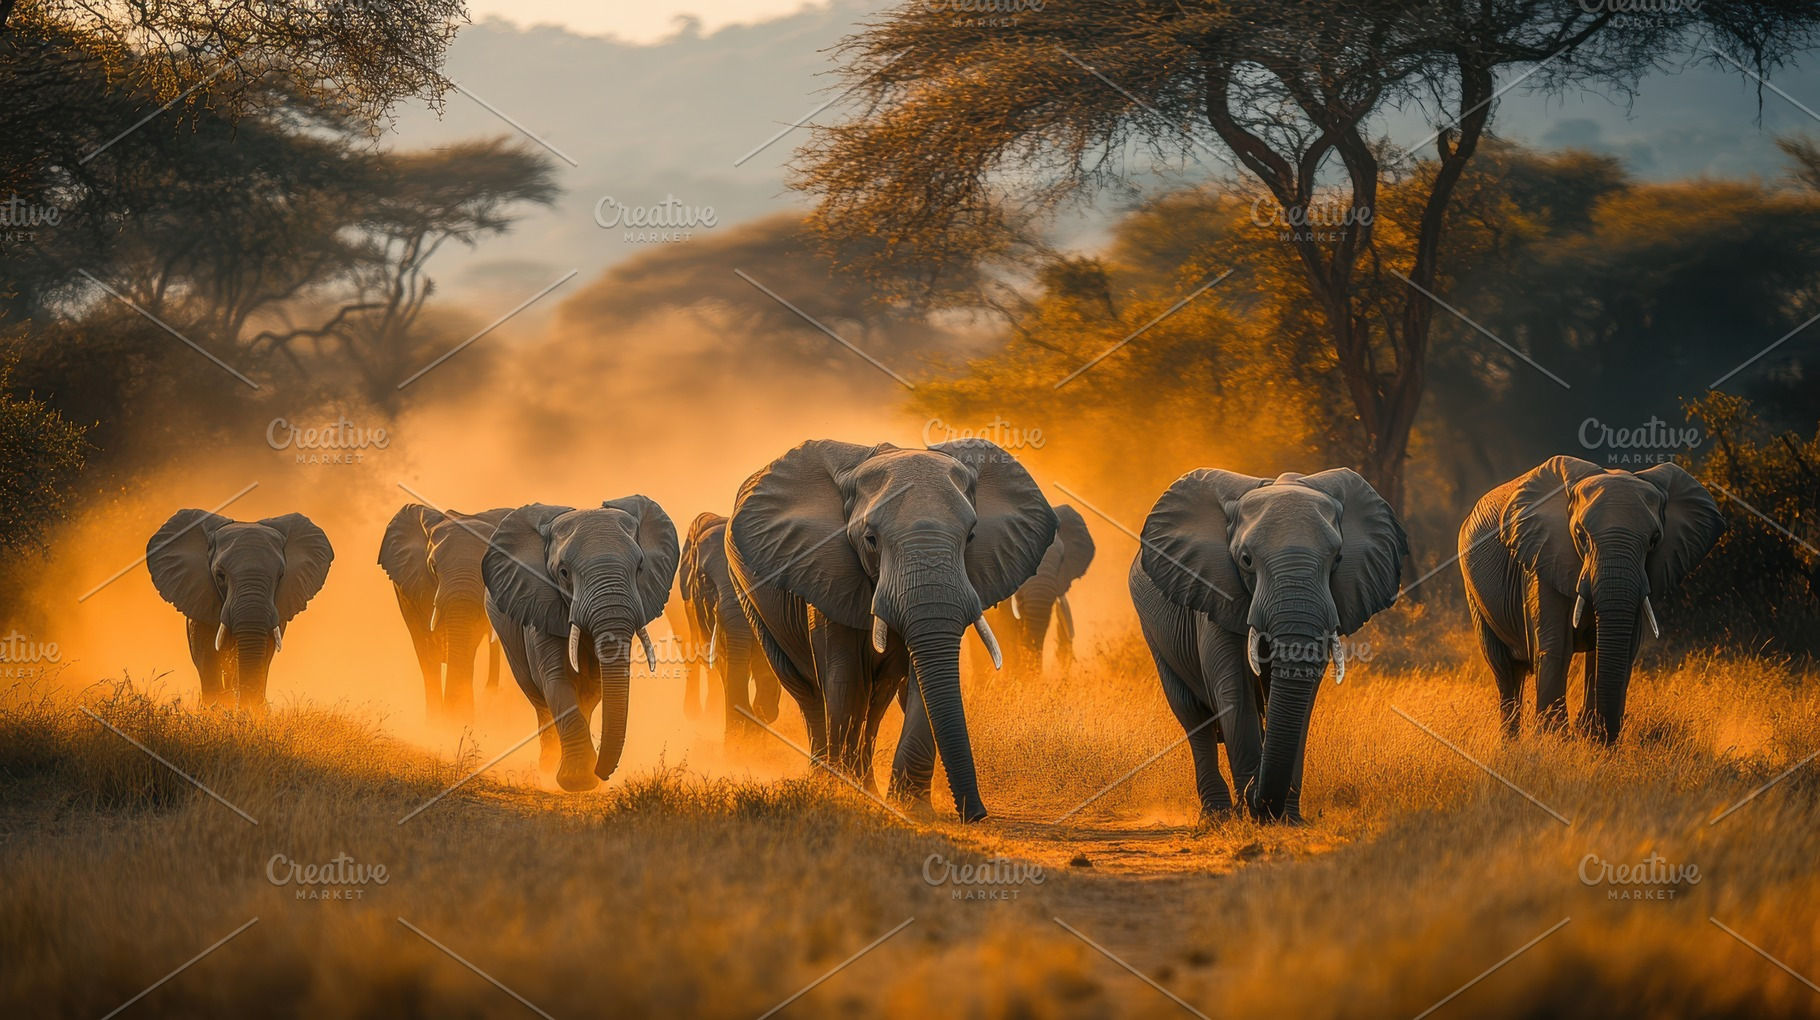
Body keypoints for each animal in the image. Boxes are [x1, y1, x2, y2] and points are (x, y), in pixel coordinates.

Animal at [145, 510, 334, 711]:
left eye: (281, 575)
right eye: (220, 575)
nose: (243, 707)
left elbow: (266, 652)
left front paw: (255, 711)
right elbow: (205, 650)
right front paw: (215, 710)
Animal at [482, 497, 679, 792]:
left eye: (640, 569)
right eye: (563, 573)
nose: (604, 775)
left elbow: (594, 686)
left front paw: (587, 776)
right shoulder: (540, 604)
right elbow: (556, 680)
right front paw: (579, 781)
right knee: (538, 697)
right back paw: (548, 767)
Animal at [728, 439, 1057, 822]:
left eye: (972, 537)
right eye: (871, 539)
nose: (975, 814)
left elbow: (921, 681)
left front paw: (910, 807)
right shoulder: (826, 570)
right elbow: (844, 677)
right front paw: (847, 797)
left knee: (876, 699)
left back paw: (867, 787)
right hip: (753, 602)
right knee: (808, 692)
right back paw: (825, 781)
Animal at [1130, 469, 1405, 822]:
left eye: (1339, 559)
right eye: (1246, 560)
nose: (1254, 795)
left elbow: (1301, 696)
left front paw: (1287, 819)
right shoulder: (1216, 591)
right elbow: (1234, 690)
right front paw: (1252, 812)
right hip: (1154, 632)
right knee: (1191, 715)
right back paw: (1217, 816)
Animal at [1459, 456, 1723, 742]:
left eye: (1654, 540)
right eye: (1581, 536)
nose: (1595, 732)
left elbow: (1618, 649)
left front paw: (1592, 739)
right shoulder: (1542, 561)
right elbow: (1555, 647)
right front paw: (1556, 741)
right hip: (1474, 595)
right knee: (1505, 671)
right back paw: (1512, 744)